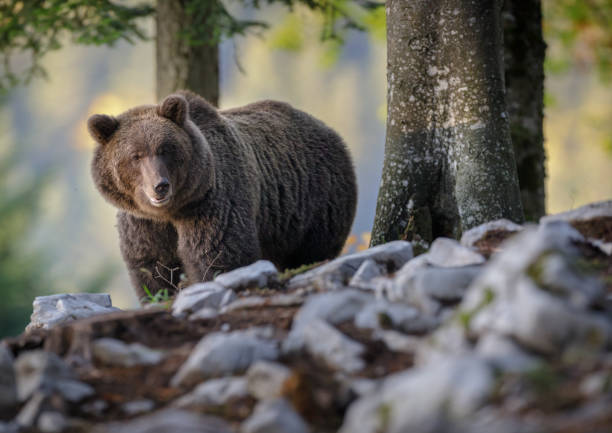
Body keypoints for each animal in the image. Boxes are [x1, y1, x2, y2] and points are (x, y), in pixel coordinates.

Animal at [88, 90, 356, 300]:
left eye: (165, 149)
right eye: (136, 155)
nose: (160, 186)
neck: (171, 211)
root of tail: (330, 131)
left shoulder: (210, 202)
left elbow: (218, 254)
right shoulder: (143, 223)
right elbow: (152, 267)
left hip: (316, 201)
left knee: (312, 251)